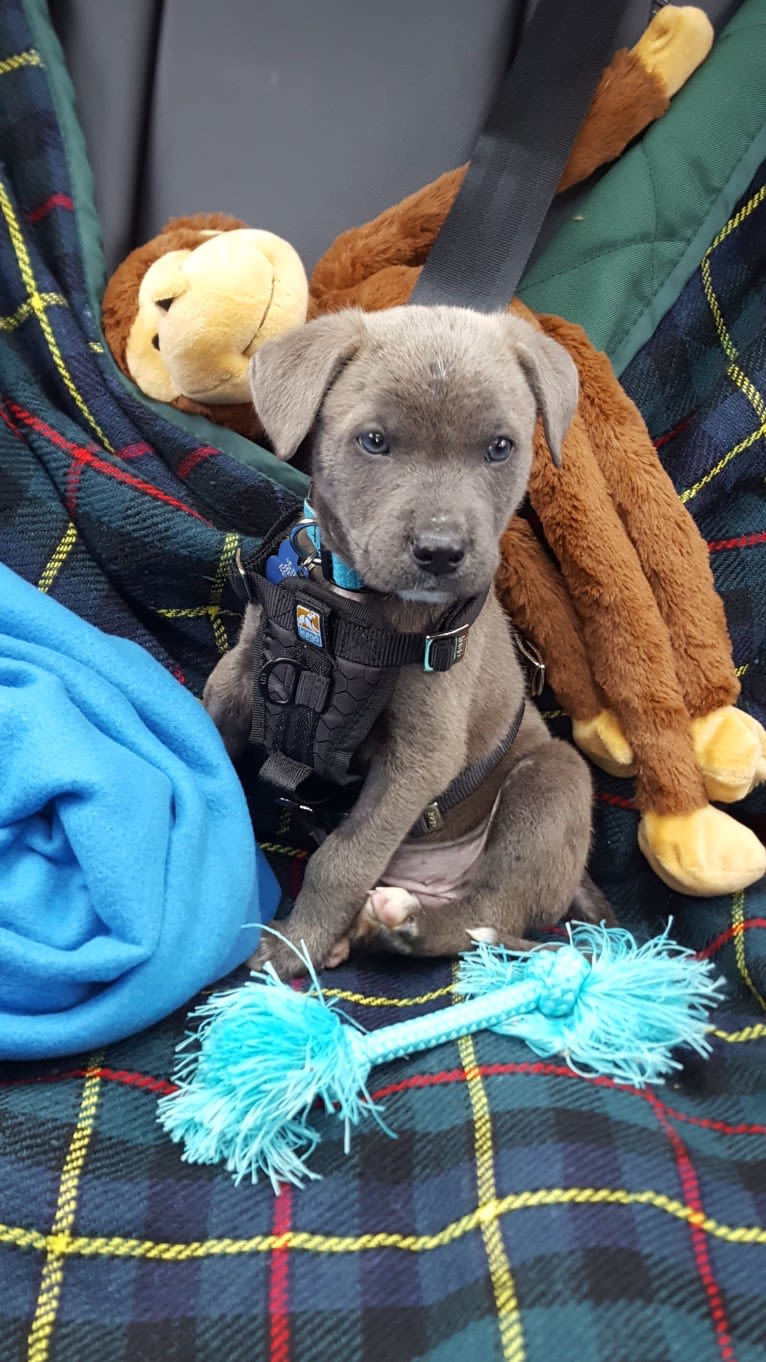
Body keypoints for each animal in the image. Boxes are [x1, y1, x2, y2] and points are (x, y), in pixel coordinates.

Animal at [201, 306, 607, 980]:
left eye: (500, 447)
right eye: (374, 441)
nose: (441, 552)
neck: (350, 602)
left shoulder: (424, 750)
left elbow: (342, 859)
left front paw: (297, 945)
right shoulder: (239, 675)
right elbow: (203, 739)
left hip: (552, 778)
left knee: (489, 916)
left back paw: (407, 925)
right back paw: (365, 931)